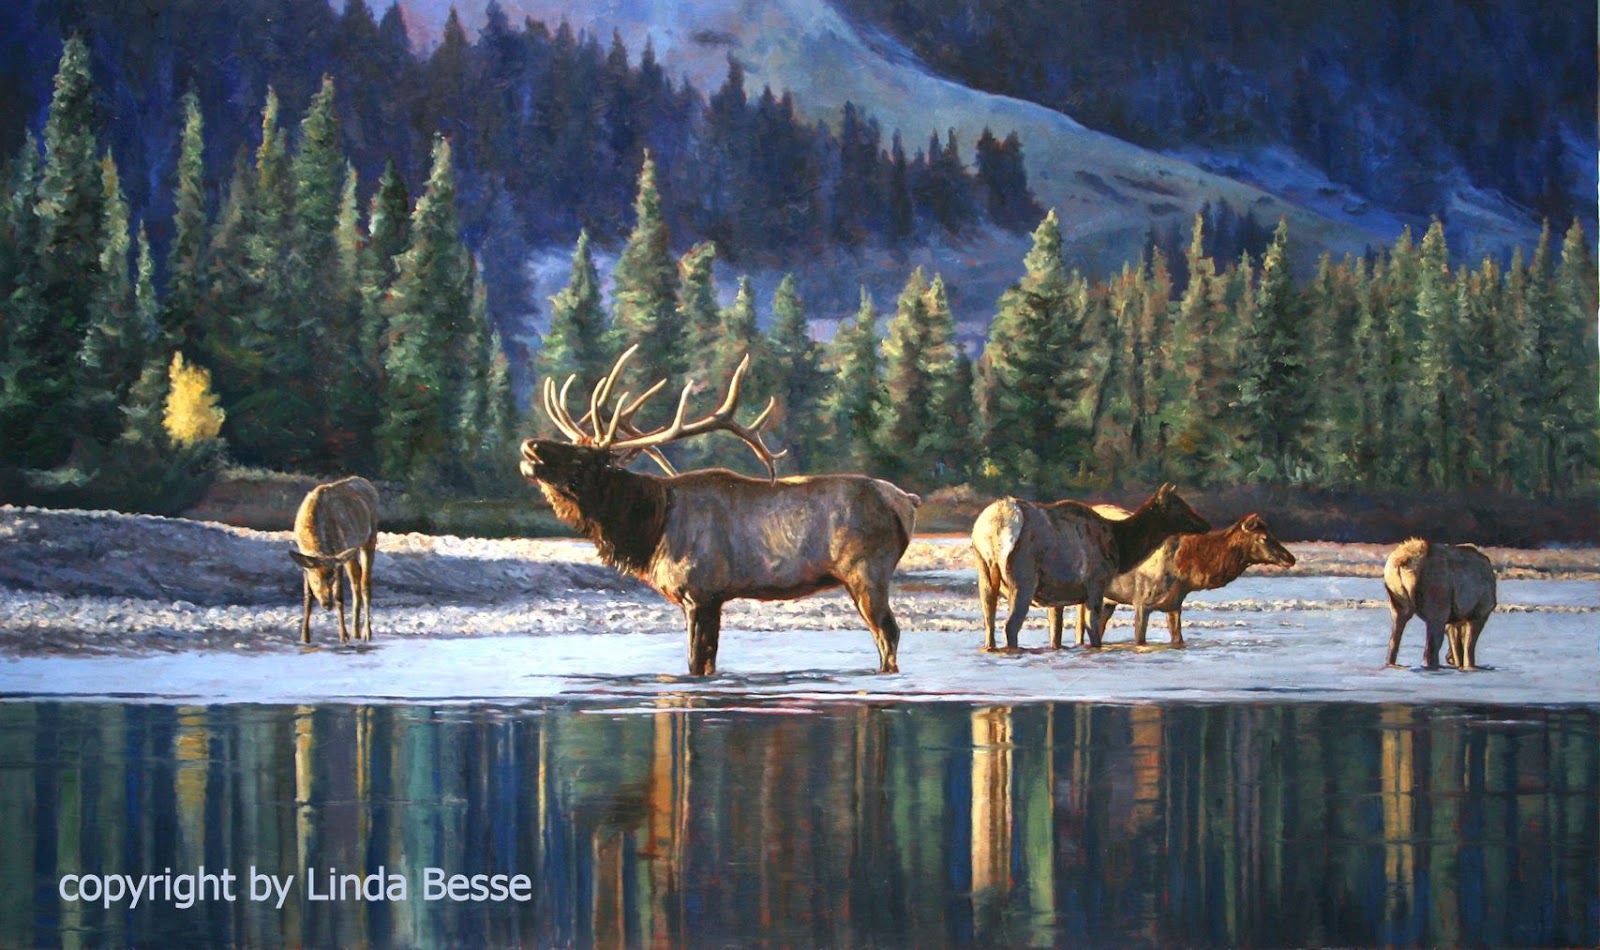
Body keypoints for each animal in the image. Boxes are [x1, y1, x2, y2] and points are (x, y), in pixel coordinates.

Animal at [288, 475, 380, 644]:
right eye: (315, 580)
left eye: (331, 580)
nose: (327, 604)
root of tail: (369, 484)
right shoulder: (306, 562)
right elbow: (307, 597)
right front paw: (304, 637)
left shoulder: (337, 555)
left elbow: (339, 596)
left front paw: (343, 636)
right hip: (351, 551)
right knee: (356, 579)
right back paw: (356, 632)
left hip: (370, 538)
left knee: (365, 583)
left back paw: (366, 633)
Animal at [519, 345, 920, 676]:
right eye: (572, 442)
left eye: (583, 457)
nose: (530, 446)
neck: (651, 529)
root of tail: (906, 499)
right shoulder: (706, 598)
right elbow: (708, 660)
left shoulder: (702, 592)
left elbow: (696, 662)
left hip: (866, 571)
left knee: (888, 633)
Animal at [971, 485, 1210, 651]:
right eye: (1179, 506)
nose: (1206, 524)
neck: (1121, 546)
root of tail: (994, 525)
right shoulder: (1096, 583)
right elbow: (1093, 627)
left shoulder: (1060, 597)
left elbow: (1060, 633)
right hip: (1024, 578)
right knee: (1011, 625)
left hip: (984, 572)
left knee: (989, 623)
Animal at [1074, 507, 1297, 646]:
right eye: (1264, 538)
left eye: (1272, 534)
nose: (1291, 558)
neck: (1185, 572)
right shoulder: (1141, 602)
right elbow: (1139, 639)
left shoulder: (1174, 604)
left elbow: (1178, 638)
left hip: (1109, 600)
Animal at [1383, 538, 1497, 670]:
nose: (1448, 658)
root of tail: (1402, 563)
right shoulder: (1480, 613)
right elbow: (1468, 653)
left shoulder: (1454, 620)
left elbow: (1457, 647)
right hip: (1437, 603)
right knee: (1431, 649)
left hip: (1397, 602)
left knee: (1394, 641)